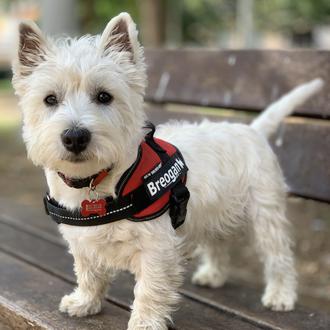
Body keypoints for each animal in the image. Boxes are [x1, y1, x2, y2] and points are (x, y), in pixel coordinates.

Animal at [12, 12, 322, 330]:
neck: (99, 181)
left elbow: (150, 287)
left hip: (264, 210)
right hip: (214, 212)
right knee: (218, 242)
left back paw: (280, 295)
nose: (75, 137)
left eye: (104, 96)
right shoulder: (83, 241)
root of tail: (253, 129)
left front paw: (145, 323)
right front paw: (84, 302)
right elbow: (89, 272)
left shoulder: (156, 246)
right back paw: (213, 275)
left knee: (278, 254)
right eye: (50, 99)